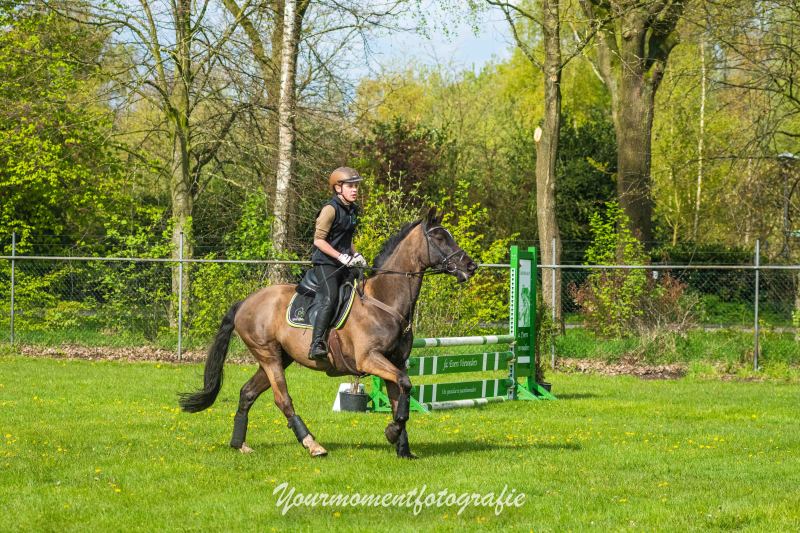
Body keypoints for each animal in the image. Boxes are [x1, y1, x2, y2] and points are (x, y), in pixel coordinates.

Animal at [178, 207, 477, 458]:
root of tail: (244, 302)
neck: (384, 300)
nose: (470, 266)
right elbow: (405, 386)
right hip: (268, 354)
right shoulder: (370, 359)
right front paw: (392, 433)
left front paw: (401, 447)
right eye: (439, 237)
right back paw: (312, 445)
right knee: (283, 400)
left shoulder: (395, 362)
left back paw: (239, 444)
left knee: (247, 393)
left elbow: (400, 397)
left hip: (279, 357)